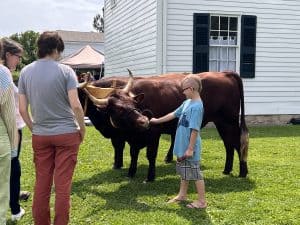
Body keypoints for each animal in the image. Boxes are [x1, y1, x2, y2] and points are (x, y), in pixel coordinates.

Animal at [82, 72, 248, 181]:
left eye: (135, 105)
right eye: (117, 109)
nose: (144, 121)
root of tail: (224, 73)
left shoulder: (153, 134)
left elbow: (150, 155)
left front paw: (150, 177)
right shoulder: (131, 138)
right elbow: (133, 153)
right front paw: (130, 172)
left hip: (229, 121)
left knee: (237, 143)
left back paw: (242, 172)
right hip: (222, 123)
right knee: (228, 145)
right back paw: (227, 170)